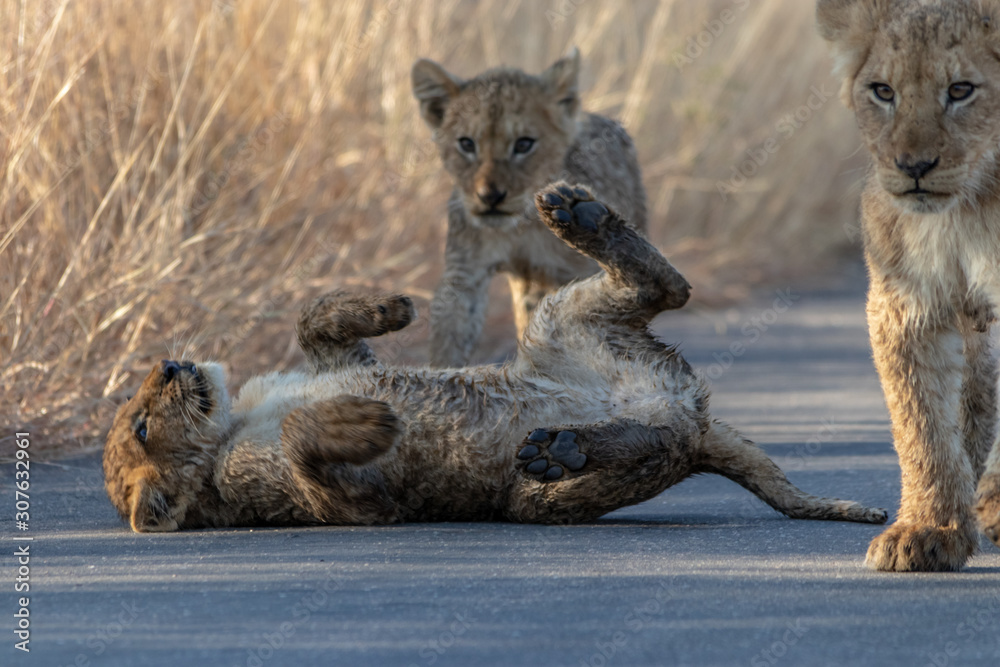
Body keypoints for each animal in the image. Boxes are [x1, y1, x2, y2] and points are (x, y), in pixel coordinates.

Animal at [102, 182, 887, 533]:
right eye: (140, 426)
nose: (168, 367)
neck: (235, 419)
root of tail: (688, 409)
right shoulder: (351, 506)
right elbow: (307, 442)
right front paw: (368, 419)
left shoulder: (328, 359)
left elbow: (315, 319)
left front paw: (396, 309)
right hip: (536, 495)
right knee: (645, 437)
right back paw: (563, 447)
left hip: (564, 319)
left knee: (666, 287)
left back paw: (576, 211)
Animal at [411, 48, 648, 367]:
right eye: (466, 144)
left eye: (524, 144)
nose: (490, 196)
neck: (521, 225)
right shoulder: (464, 273)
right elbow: (450, 333)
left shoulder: (578, 274)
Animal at [818, 0, 1000, 571]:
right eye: (883, 91)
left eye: (961, 89)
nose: (914, 167)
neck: (971, 204)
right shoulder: (907, 302)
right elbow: (921, 422)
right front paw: (930, 529)